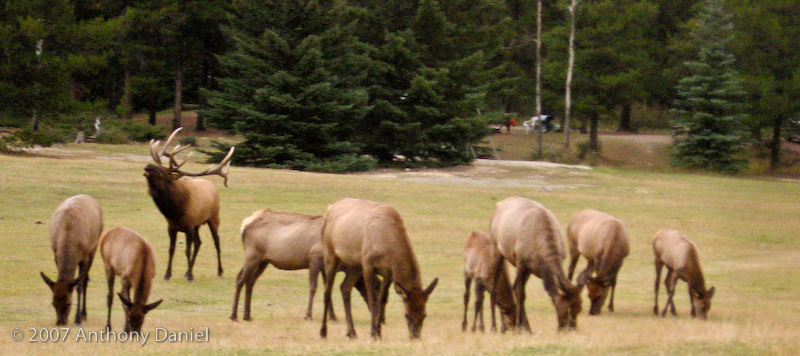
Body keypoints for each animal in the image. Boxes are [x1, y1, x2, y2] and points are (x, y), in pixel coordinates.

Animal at [41, 195, 103, 326]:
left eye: (69, 303)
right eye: (53, 303)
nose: (60, 322)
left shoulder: (85, 256)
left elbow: (79, 285)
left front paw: (77, 318)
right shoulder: (56, 255)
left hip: (94, 247)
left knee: (86, 281)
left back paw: (84, 314)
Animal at [144, 128, 234, 280]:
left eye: (162, 172)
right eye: (157, 165)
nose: (147, 166)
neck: (175, 211)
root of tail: (212, 185)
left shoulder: (189, 226)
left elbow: (187, 250)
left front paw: (191, 276)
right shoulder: (172, 227)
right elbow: (171, 249)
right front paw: (167, 274)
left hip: (214, 217)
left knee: (217, 241)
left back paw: (220, 271)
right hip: (198, 224)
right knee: (199, 243)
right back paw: (187, 271)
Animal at [318, 197, 438, 340]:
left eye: (424, 315)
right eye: (407, 315)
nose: (415, 336)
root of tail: (329, 208)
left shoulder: (388, 273)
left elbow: (382, 299)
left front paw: (379, 332)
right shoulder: (368, 264)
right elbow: (372, 299)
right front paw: (373, 332)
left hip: (355, 265)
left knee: (345, 288)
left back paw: (351, 332)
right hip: (330, 253)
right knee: (327, 291)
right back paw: (323, 331)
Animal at [488, 196, 580, 330]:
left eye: (579, 309)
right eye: (568, 310)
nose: (571, 329)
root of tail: (499, 204)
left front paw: (524, 327)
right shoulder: (520, 262)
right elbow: (520, 292)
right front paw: (519, 326)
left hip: (528, 270)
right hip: (497, 250)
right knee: (495, 287)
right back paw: (496, 326)